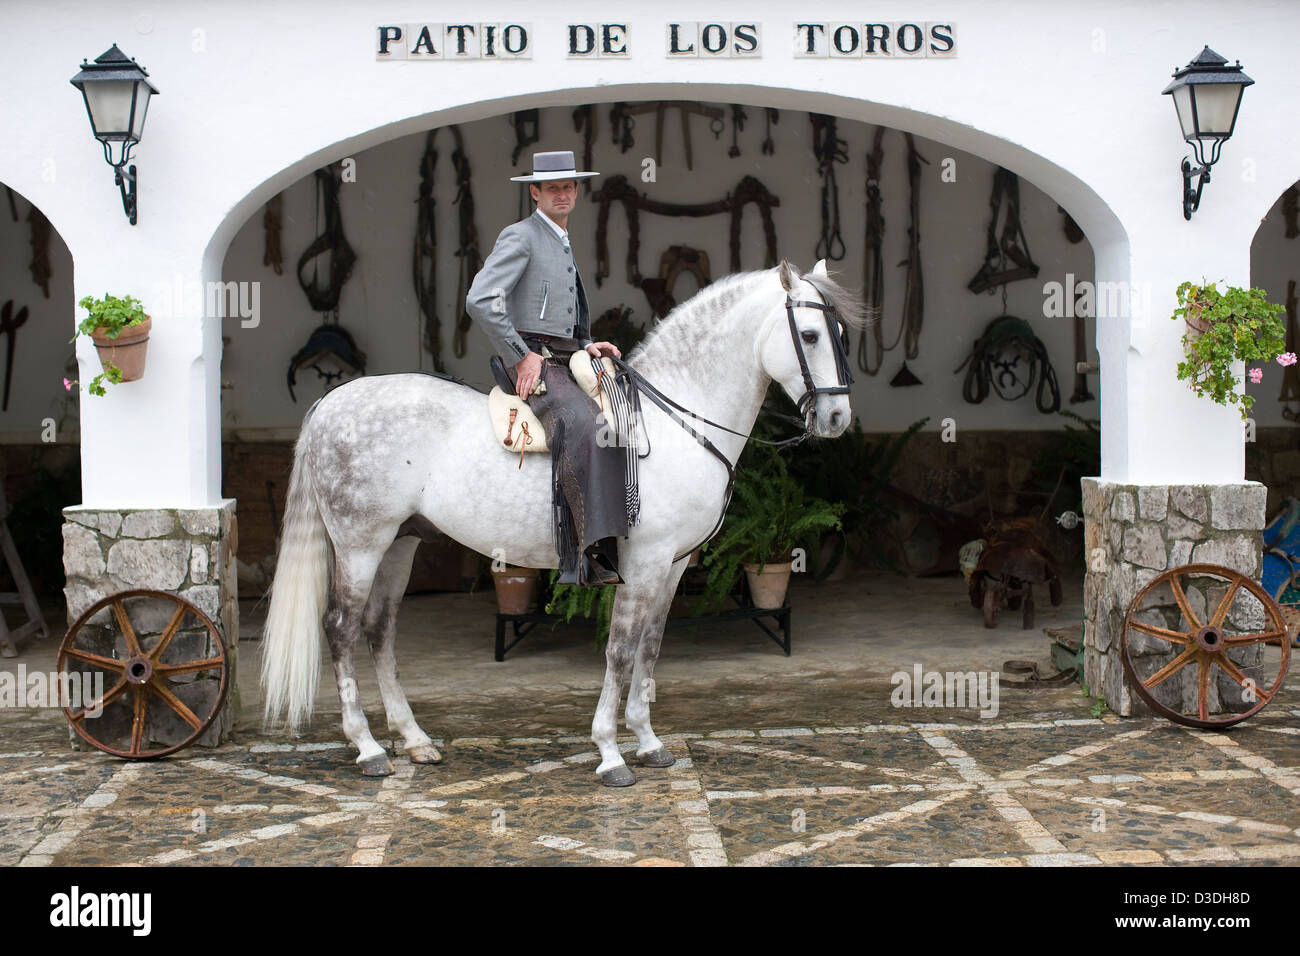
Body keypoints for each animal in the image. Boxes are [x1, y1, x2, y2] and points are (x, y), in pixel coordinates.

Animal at [256, 261, 863, 785]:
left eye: (838, 332)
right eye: (811, 335)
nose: (836, 417)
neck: (672, 421)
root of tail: (333, 400)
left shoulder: (672, 565)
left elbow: (650, 646)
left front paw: (648, 742)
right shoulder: (643, 562)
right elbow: (620, 649)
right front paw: (610, 752)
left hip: (401, 543)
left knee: (379, 629)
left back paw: (414, 740)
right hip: (360, 544)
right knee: (341, 627)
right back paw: (368, 748)